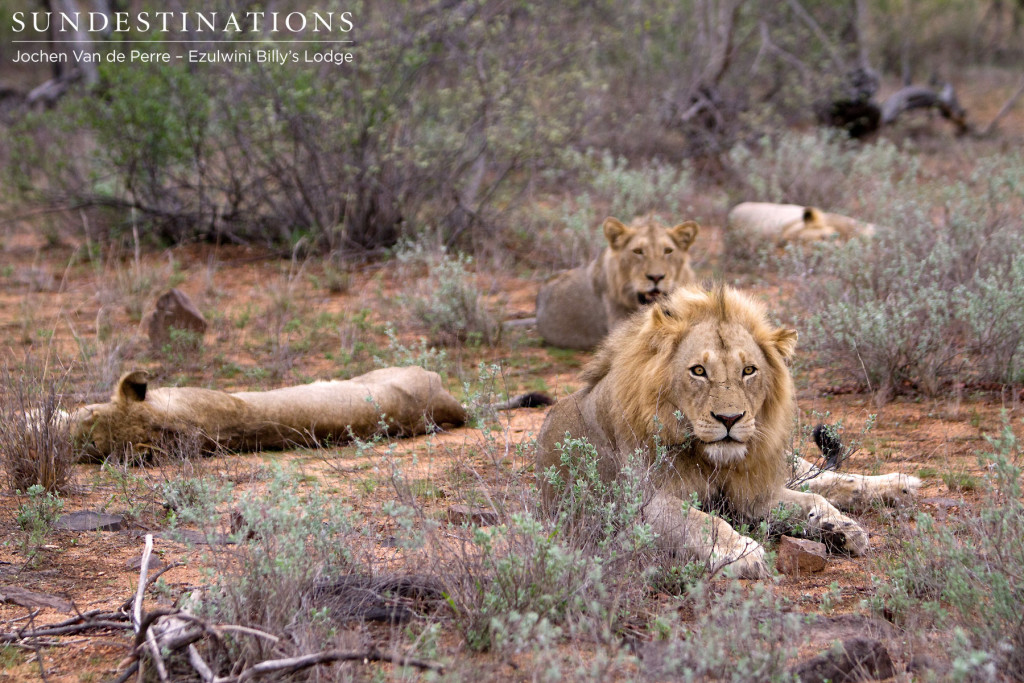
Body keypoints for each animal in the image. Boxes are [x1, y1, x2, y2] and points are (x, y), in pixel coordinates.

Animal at [536, 286, 921, 581]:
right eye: (698, 371)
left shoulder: (749, 492)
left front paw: (837, 526)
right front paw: (742, 552)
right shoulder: (638, 502)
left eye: (748, 370)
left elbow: (810, 499)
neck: (711, 460)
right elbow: (700, 520)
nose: (730, 418)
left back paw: (896, 488)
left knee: (823, 477)